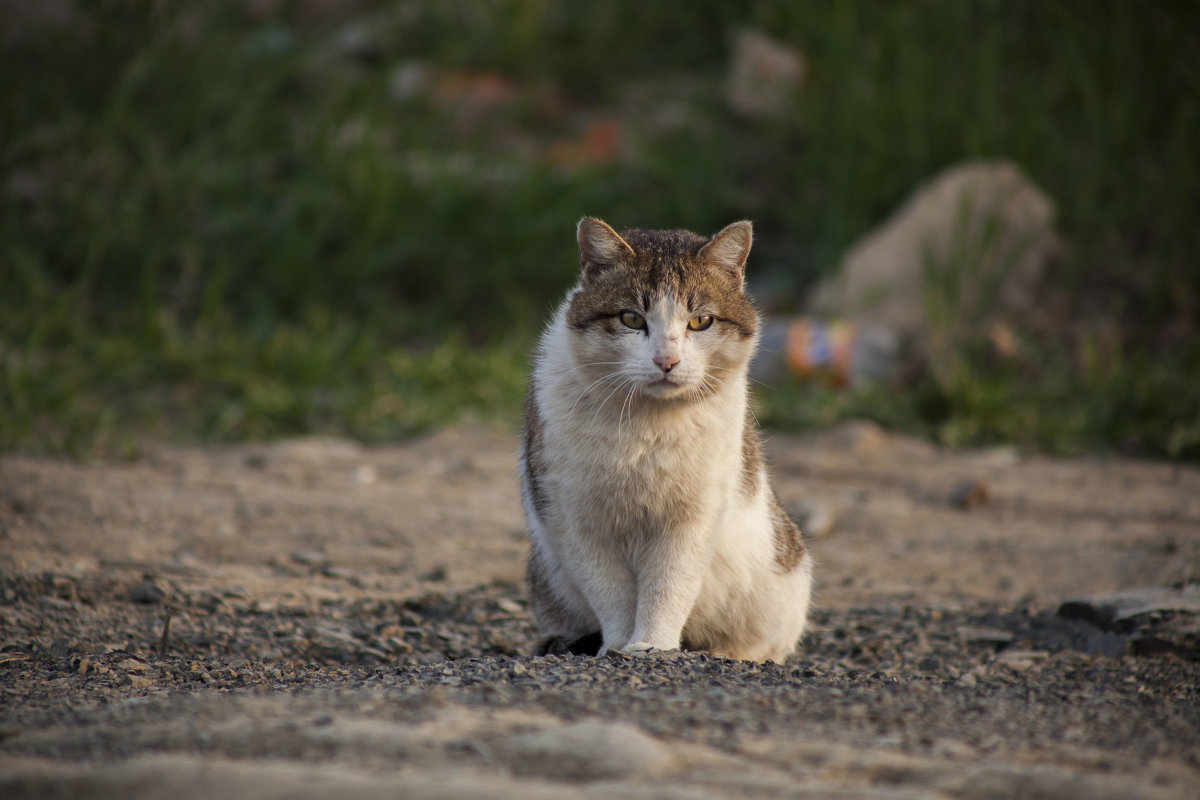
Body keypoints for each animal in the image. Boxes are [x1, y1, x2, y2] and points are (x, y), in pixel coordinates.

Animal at [518, 215, 816, 662]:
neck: (648, 426)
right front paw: (618, 645)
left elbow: (668, 586)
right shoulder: (572, 518)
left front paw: (652, 645)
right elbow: (610, 593)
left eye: (700, 322)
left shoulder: (693, 518)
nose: (666, 361)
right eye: (631, 319)